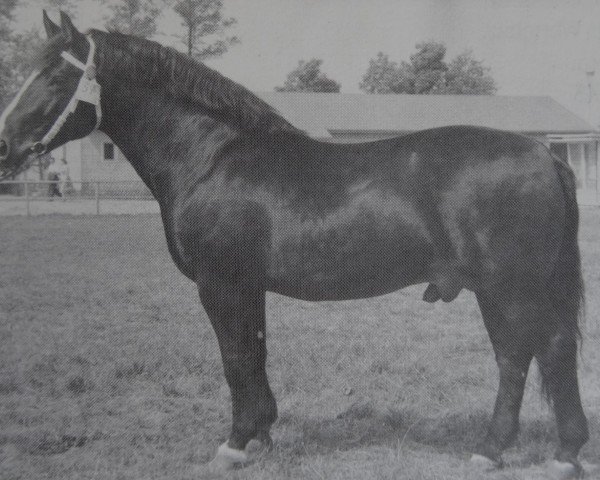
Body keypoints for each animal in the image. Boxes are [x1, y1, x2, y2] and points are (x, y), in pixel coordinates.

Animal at [0, 10, 592, 476]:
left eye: (54, 74)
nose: (5, 146)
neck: (212, 157)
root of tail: (546, 155)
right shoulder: (249, 287)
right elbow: (256, 353)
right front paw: (262, 434)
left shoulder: (220, 284)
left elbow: (235, 357)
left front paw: (235, 444)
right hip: (508, 290)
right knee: (534, 353)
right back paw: (528, 451)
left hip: (509, 288)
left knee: (534, 351)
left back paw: (528, 452)